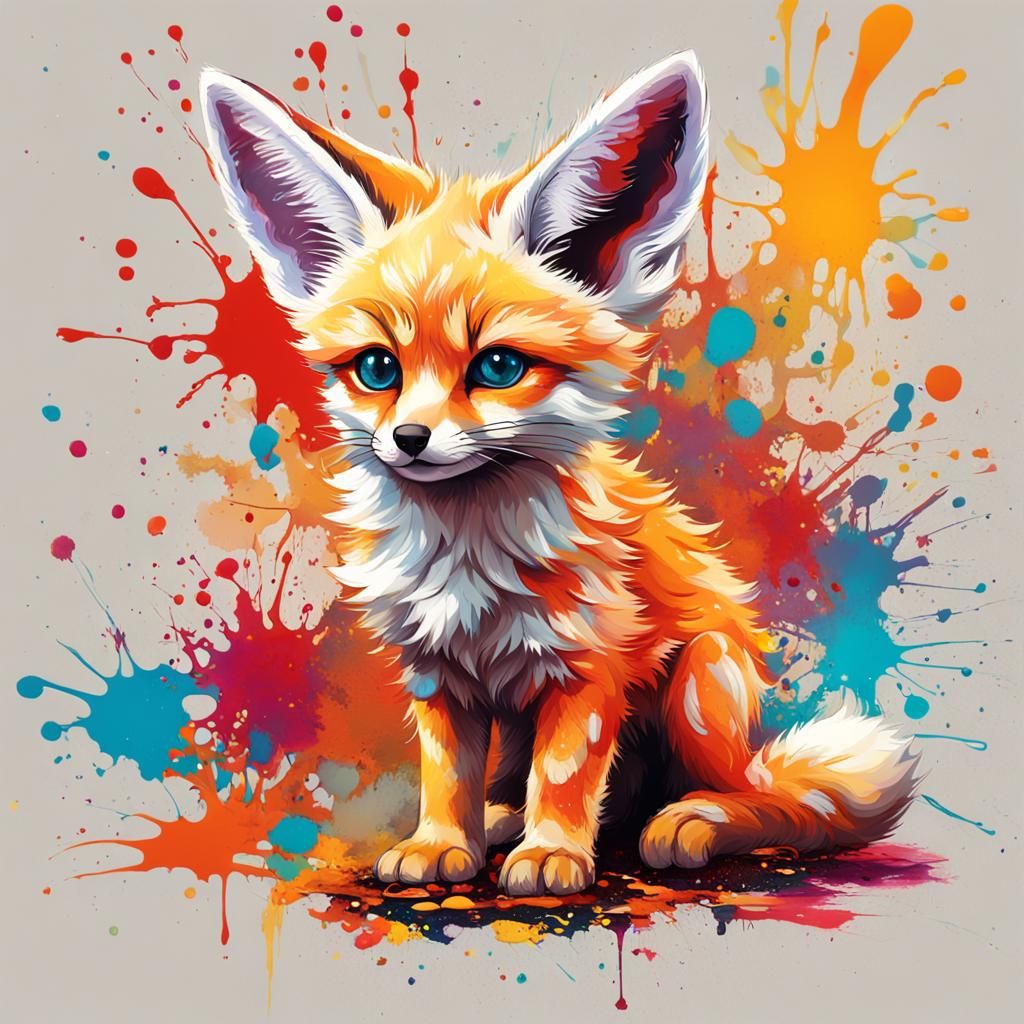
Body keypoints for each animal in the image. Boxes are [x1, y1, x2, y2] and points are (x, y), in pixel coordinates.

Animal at [200, 51, 918, 897]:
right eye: (377, 369)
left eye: (498, 367)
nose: (408, 439)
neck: (467, 558)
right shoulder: (435, 675)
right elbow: (447, 776)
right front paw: (443, 843)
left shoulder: (588, 667)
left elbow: (568, 774)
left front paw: (551, 855)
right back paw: (508, 824)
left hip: (701, 687)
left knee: (776, 804)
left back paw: (693, 820)